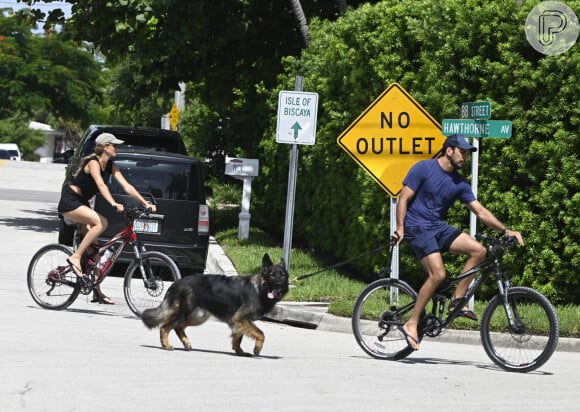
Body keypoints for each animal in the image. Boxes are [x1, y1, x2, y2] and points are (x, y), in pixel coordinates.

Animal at [142, 253, 288, 356]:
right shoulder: (241, 318)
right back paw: (166, 345)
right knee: (165, 327)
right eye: (272, 275)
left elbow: (238, 337)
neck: (259, 289)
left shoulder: (239, 321)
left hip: (197, 317)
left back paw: (186, 343)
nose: (280, 284)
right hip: (186, 314)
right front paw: (257, 348)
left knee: (178, 327)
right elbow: (260, 333)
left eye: (283, 275)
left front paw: (239, 351)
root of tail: (176, 283)